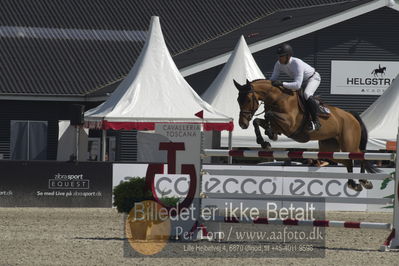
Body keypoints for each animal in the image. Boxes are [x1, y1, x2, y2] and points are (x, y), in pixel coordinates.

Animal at [234, 78, 378, 191]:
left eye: (247, 100)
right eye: (238, 100)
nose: (242, 124)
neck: (278, 98)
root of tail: (350, 115)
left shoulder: (290, 125)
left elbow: (268, 115)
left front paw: (269, 134)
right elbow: (257, 121)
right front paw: (265, 140)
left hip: (349, 145)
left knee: (360, 156)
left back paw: (364, 181)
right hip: (329, 149)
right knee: (347, 161)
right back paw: (354, 183)